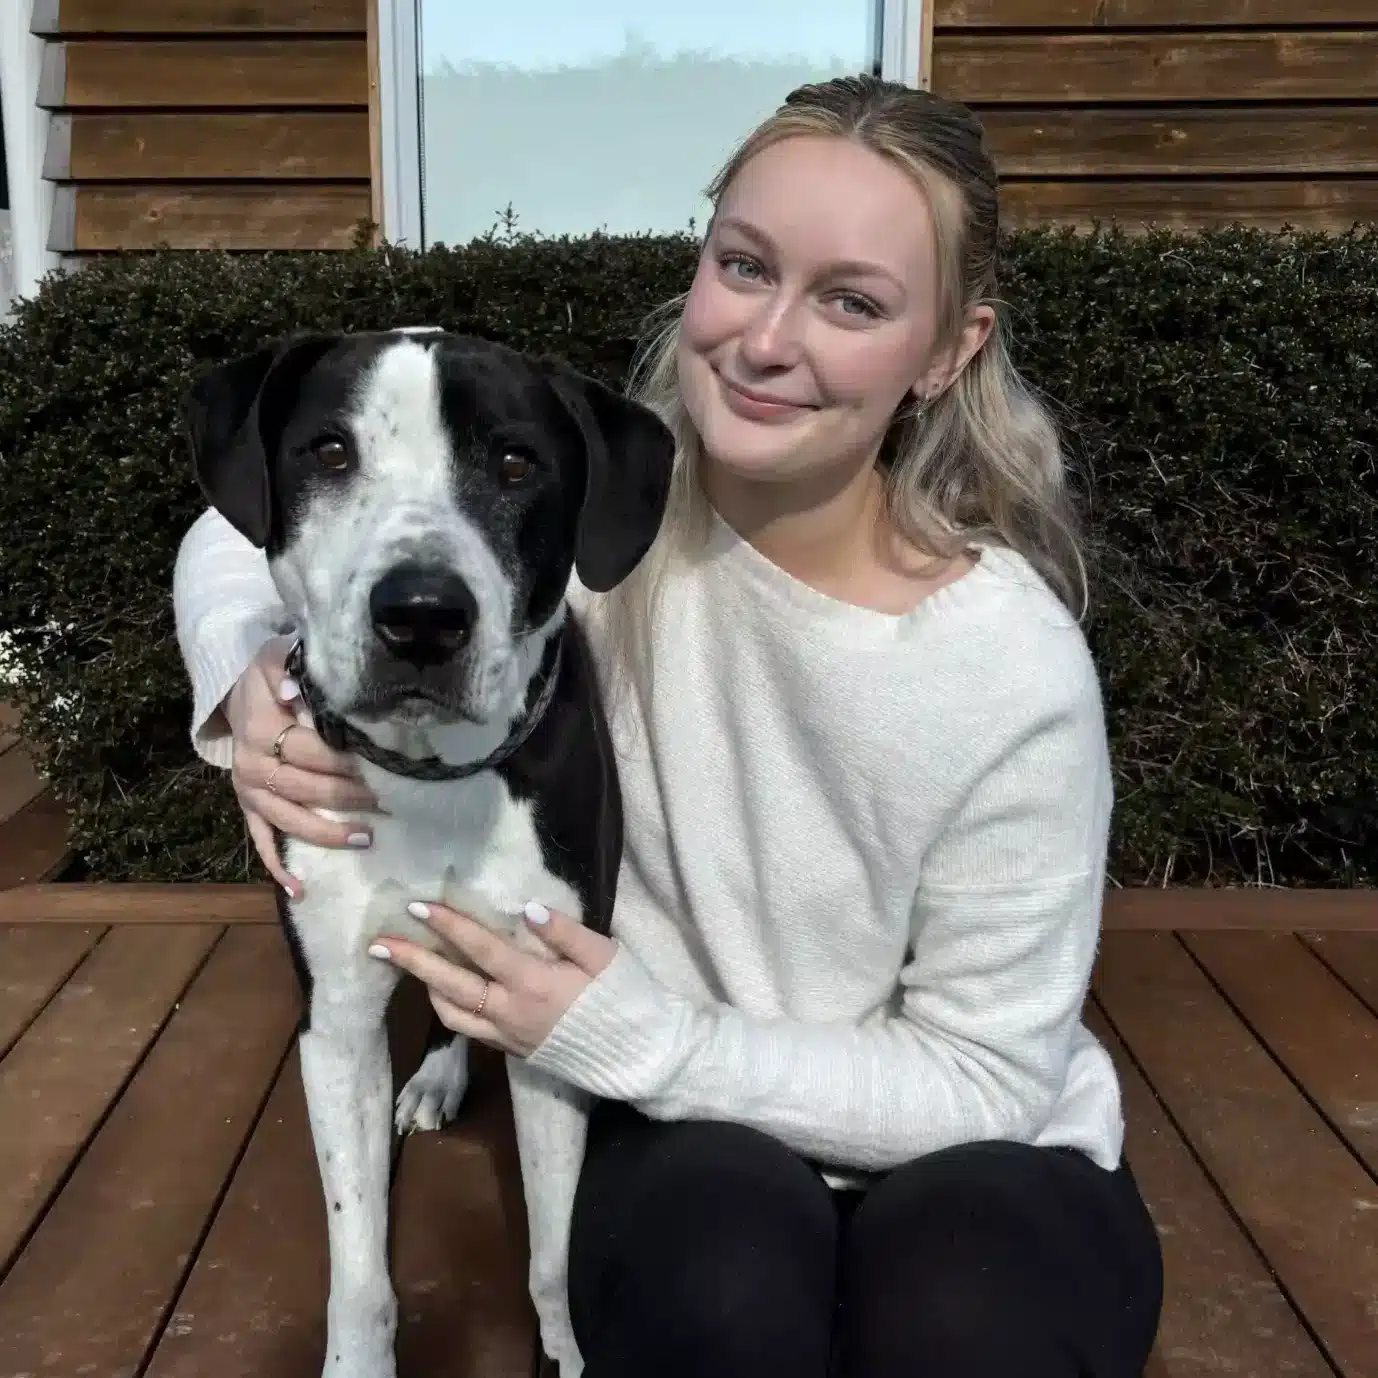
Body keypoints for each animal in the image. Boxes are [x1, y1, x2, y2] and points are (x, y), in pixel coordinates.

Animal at [180, 325, 675, 1378]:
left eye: (517, 463)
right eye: (329, 452)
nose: (420, 615)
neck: (432, 777)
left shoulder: (552, 999)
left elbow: (553, 1257)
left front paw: (567, 1351)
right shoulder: (335, 1026)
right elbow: (360, 1270)